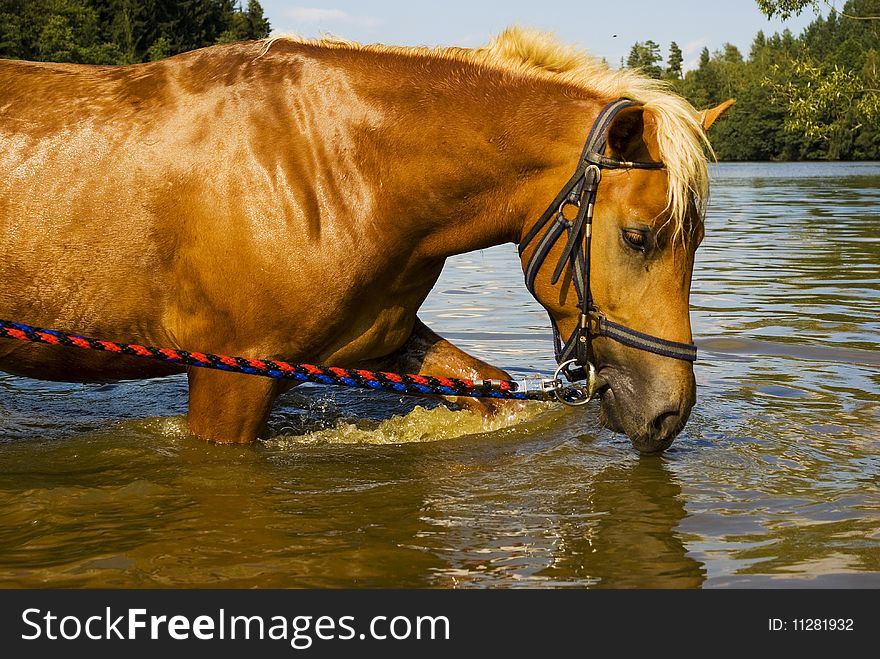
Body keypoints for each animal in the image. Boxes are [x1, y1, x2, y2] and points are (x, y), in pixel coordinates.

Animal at [0, 28, 728, 456]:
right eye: (637, 238)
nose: (668, 413)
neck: (335, 163)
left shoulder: (378, 338)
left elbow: (487, 389)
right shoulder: (228, 376)